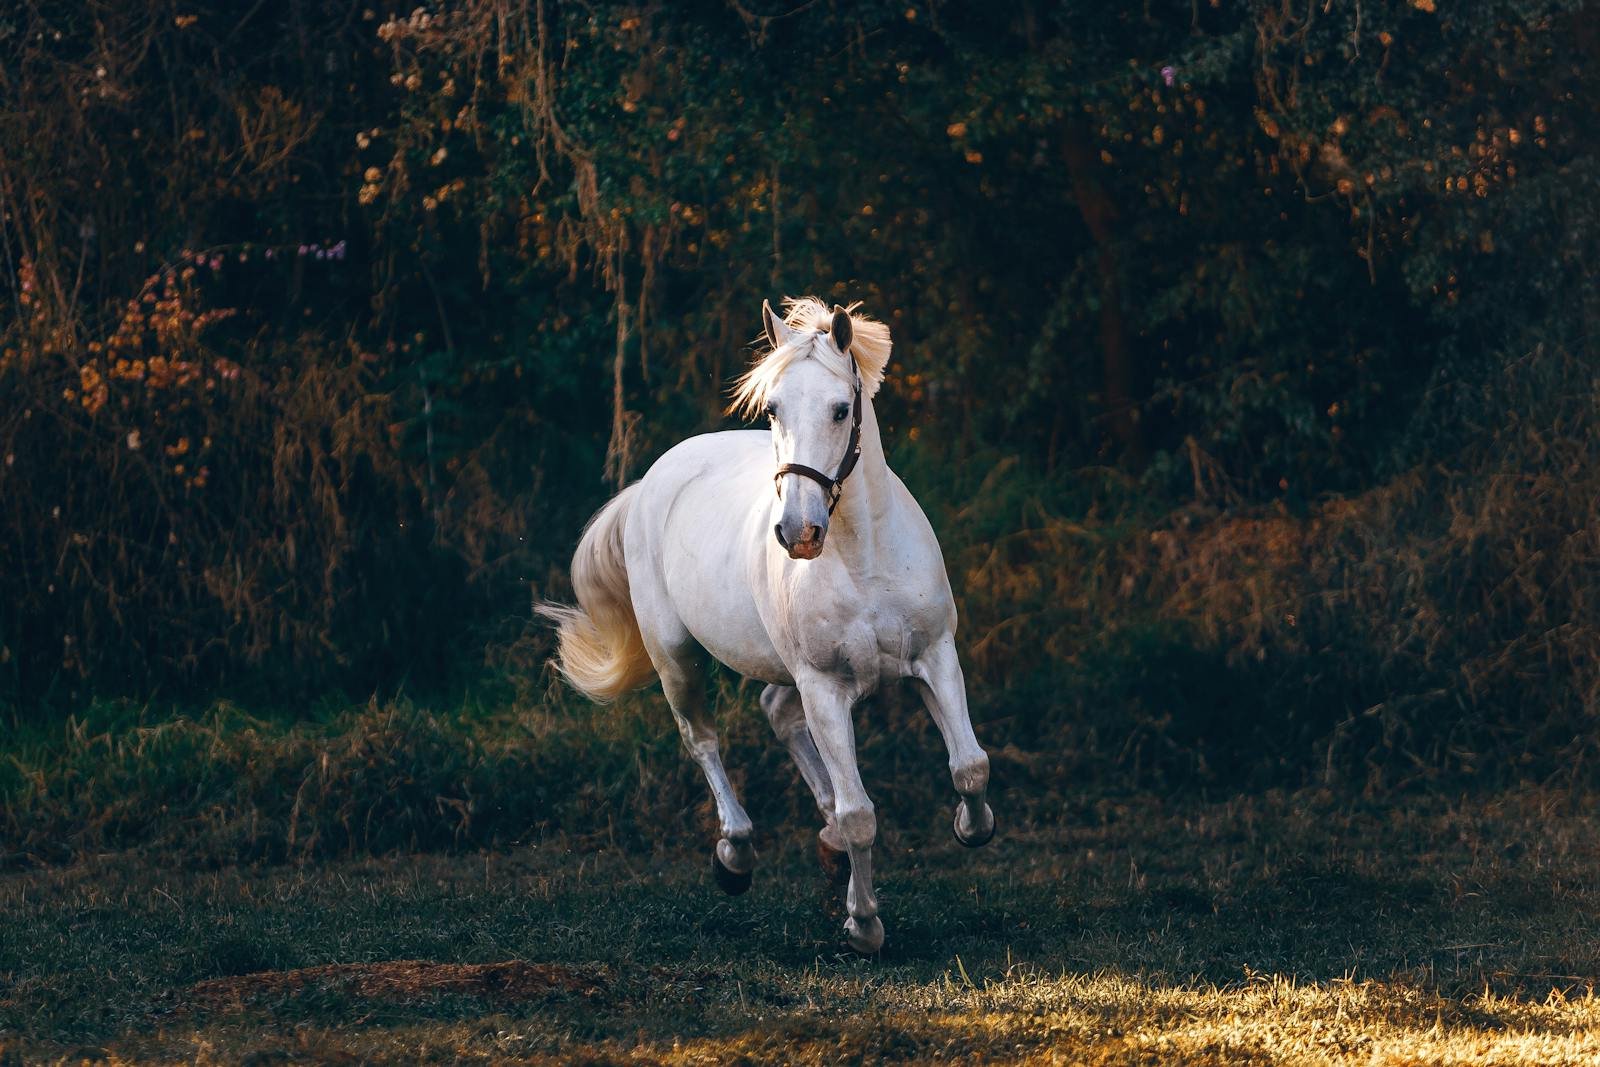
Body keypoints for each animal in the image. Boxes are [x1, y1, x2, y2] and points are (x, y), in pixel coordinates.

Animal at [540, 296, 993, 953]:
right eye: (773, 408)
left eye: (841, 409)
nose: (797, 533)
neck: (864, 558)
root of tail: (652, 481)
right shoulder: (824, 687)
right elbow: (861, 814)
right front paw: (864, 925)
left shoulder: (935, 657)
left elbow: (969, 767)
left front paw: (967, 826)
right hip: (676, 656)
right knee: (703, 740)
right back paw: (735, 855)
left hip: (784, 669)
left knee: (776, 713)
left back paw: (823, 845)